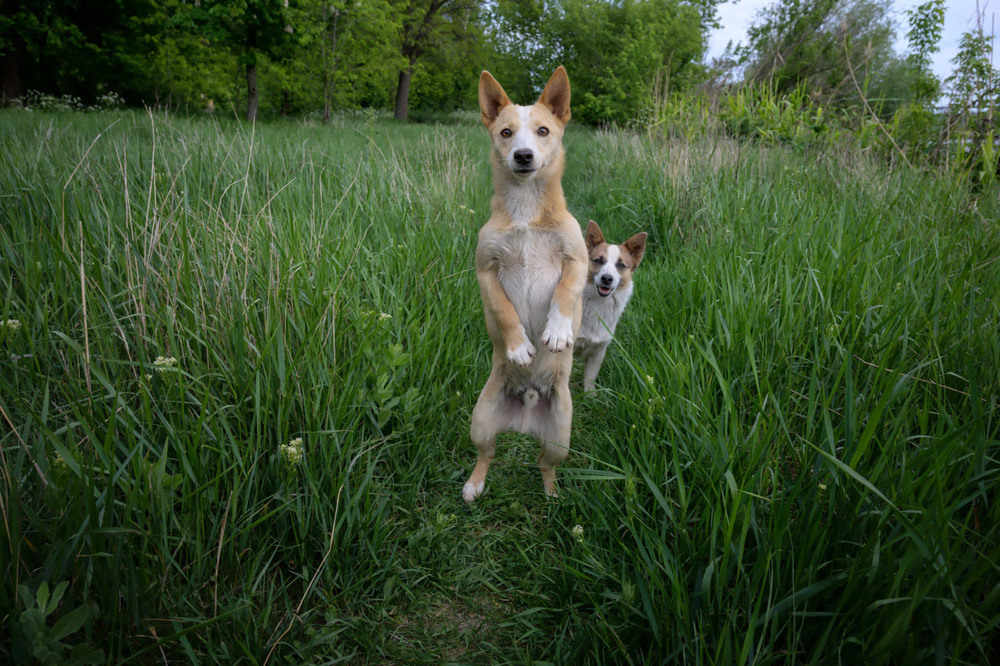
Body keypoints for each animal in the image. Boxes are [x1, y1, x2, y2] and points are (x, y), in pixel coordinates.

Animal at [464, 68, 588, 504]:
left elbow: (565, 292)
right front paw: (519, 346)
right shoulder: (486, 270)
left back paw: (552, 493)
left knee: (543, 464)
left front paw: (557, 331)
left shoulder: (578, 260)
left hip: (561, 438)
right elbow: (504, 310)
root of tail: (528, 407)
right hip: (481, 423)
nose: (523, 156)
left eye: (543, 130)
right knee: (487, 455)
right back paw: (474, 484)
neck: (526, 210)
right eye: (505, 132)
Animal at [576, 220, 644, 392]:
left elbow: (590, 379)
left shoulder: (599, 350)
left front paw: (589, 395)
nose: (607, 278)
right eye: (598, 261)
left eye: (621, 265)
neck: (597, 305)